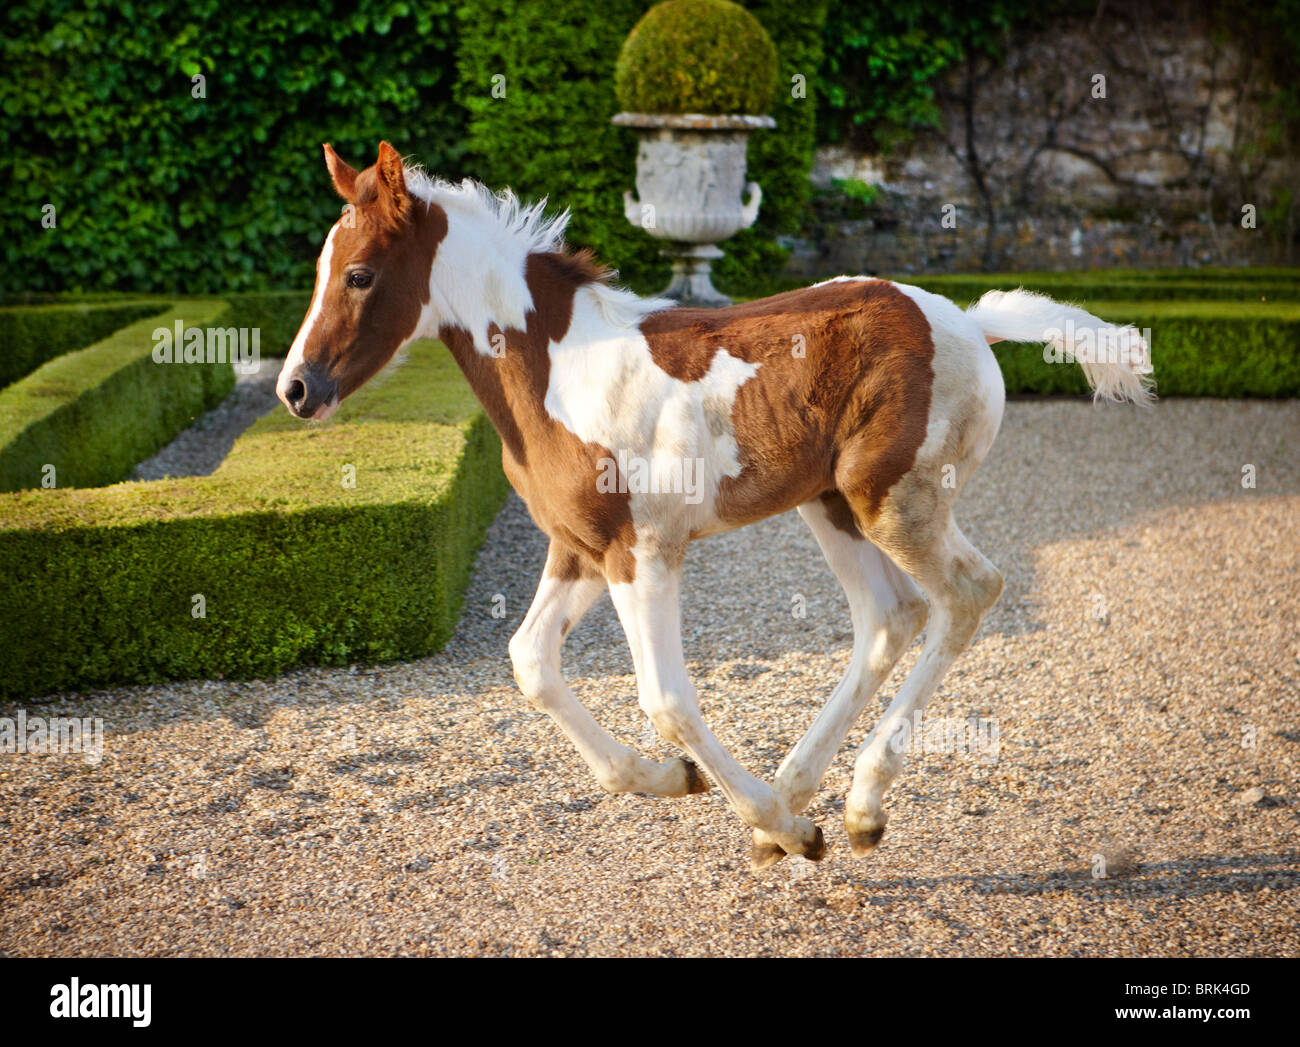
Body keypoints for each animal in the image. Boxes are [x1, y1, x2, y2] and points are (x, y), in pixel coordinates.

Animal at [279, 143, 1154, 868]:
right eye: (323, 270)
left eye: (359, 274)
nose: (295, 389)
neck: (562, 367)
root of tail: (969, 320)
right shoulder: (581, 548)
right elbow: (531, 661)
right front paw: (674, 781)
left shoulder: (644, 553)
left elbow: (666, 700)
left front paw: (776, 822)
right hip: (830, 504)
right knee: (889, 614)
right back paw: (801, 789)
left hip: (895, 501)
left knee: (967, 593)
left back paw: (855, 806)